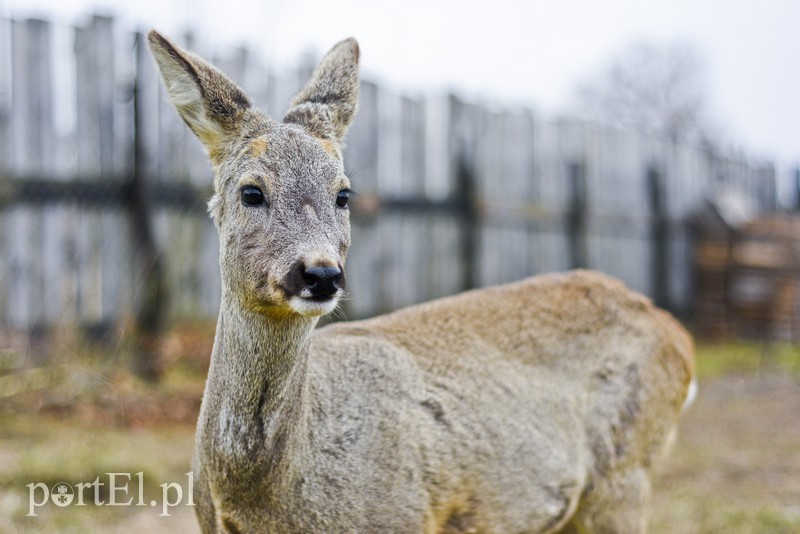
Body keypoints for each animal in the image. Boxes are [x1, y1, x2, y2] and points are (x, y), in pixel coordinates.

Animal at [148, 31, 692, 532]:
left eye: (343, 194)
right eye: (251, 191)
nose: (321, 273)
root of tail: (675, 333)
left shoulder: (402, 515)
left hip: (625, 475)